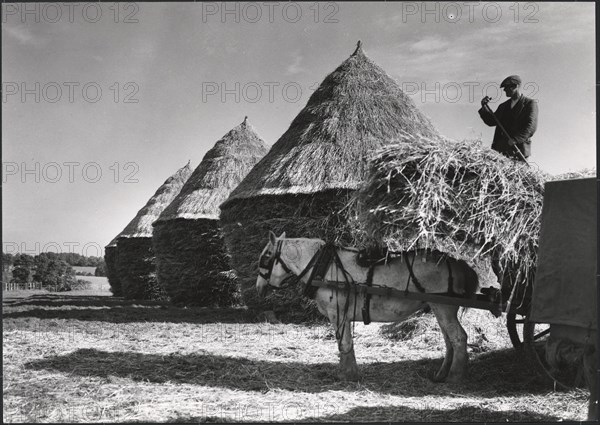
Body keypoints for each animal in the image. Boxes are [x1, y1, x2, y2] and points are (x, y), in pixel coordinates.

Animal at [255, 232, 480, 380]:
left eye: (266, 257)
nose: (258, 287)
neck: (324, 266)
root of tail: (457, 263)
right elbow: (345, 344)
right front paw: (349, 372)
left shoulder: (338, 314)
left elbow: (344, 343)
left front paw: (348, 375)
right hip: (439, 308)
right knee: (449, 340)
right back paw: (441, 374)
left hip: (443, 307)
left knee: (459, 338)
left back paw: (455, 376)